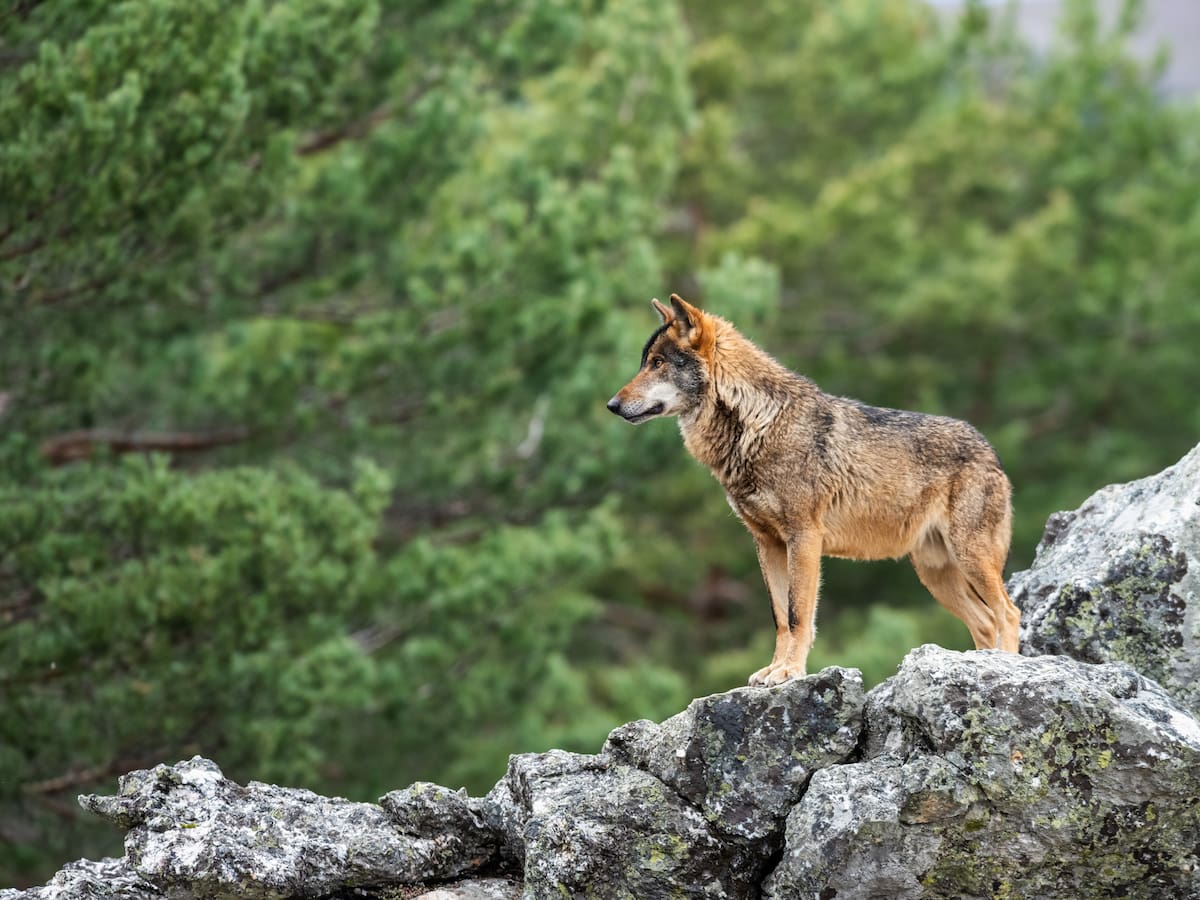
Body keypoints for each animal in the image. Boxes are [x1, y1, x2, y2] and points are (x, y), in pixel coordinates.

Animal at [607, 294, 1020, 686]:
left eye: (659, 363)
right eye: (645, 362)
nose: (612, 404)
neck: (757, 424)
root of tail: (991, 452)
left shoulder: (804, 537)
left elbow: (797, 614)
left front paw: (789, 672)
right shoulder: (767, 543)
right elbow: (779, 617)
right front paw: (773, 670)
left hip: (968, 558)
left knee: (1008, 612)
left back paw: (1007, 667)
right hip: (936, 575)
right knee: (985, 621)